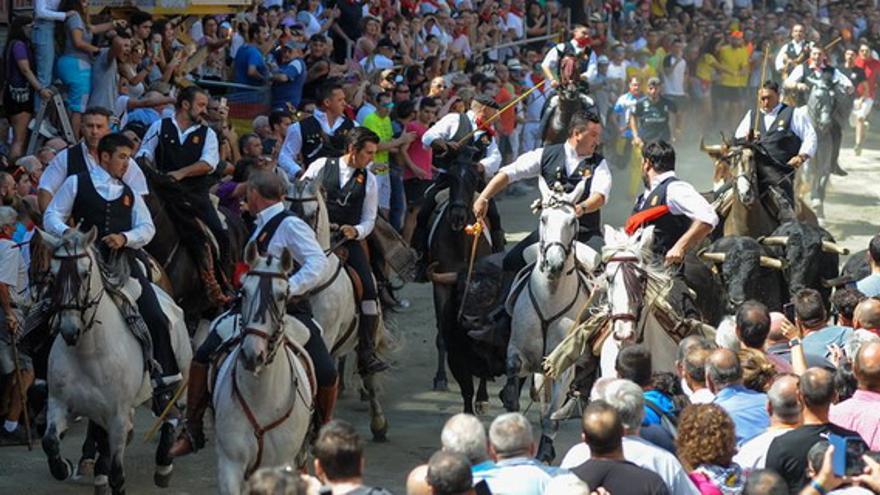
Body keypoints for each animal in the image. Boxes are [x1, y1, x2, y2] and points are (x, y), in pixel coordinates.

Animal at [40, 228, 191, 495]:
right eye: (53, 274)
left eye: (85, 273)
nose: (69, 331)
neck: (89, 352)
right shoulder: (60, 403)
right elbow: (50, 442)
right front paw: (64, 467)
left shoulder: (117, 416)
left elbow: (118, 475)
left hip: (179, 380)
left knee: (173, 414)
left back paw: (164, 464)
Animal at [213, 245, 316, 495]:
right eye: (243, 292)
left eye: (281, 296)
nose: (253, 355)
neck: (261, 397)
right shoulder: (231, 463)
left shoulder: (282, 466)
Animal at [502, 179, 592, 464]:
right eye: (543, 218)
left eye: (573, 221)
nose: (554, 264)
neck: (550, 297)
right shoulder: (517, 351)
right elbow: (513, 378)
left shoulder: (563, 364)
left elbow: (551, 417)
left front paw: (544, 451)